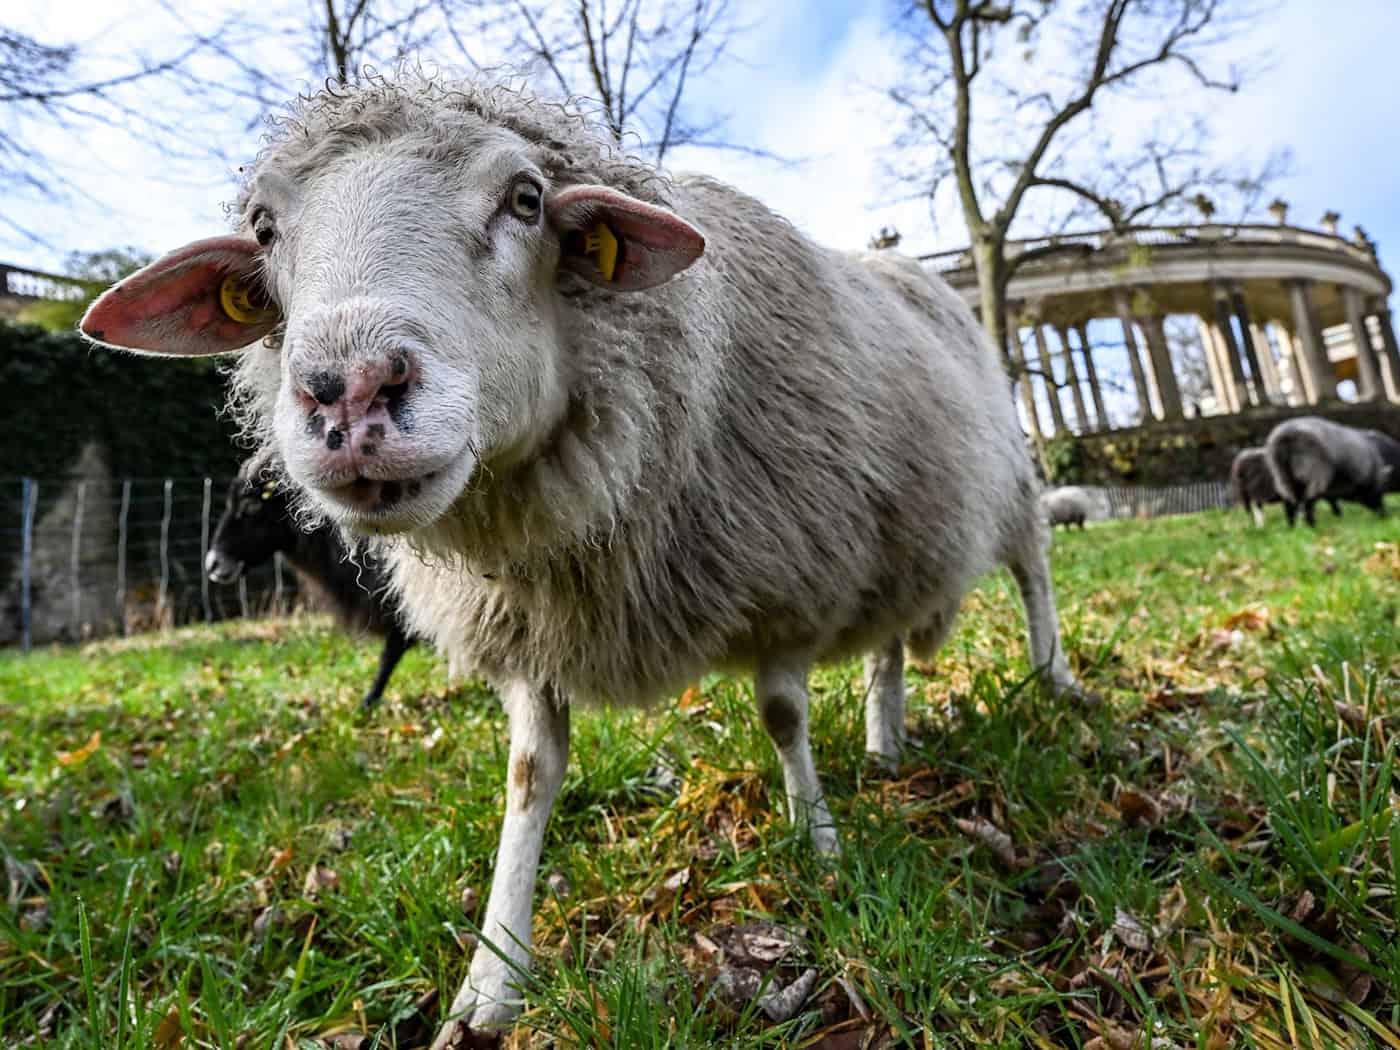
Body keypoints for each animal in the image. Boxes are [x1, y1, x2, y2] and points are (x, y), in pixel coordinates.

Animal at [1265, 415, 1400, 527]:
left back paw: (1292, 527)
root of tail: (1286, 435)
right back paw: (1312, 526)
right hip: (1313, 473)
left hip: (1283, 476)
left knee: (1289, 502)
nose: (1384, 516)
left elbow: (1331, 499)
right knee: (1308, 502)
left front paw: (1338, 515)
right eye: (1379, 492)